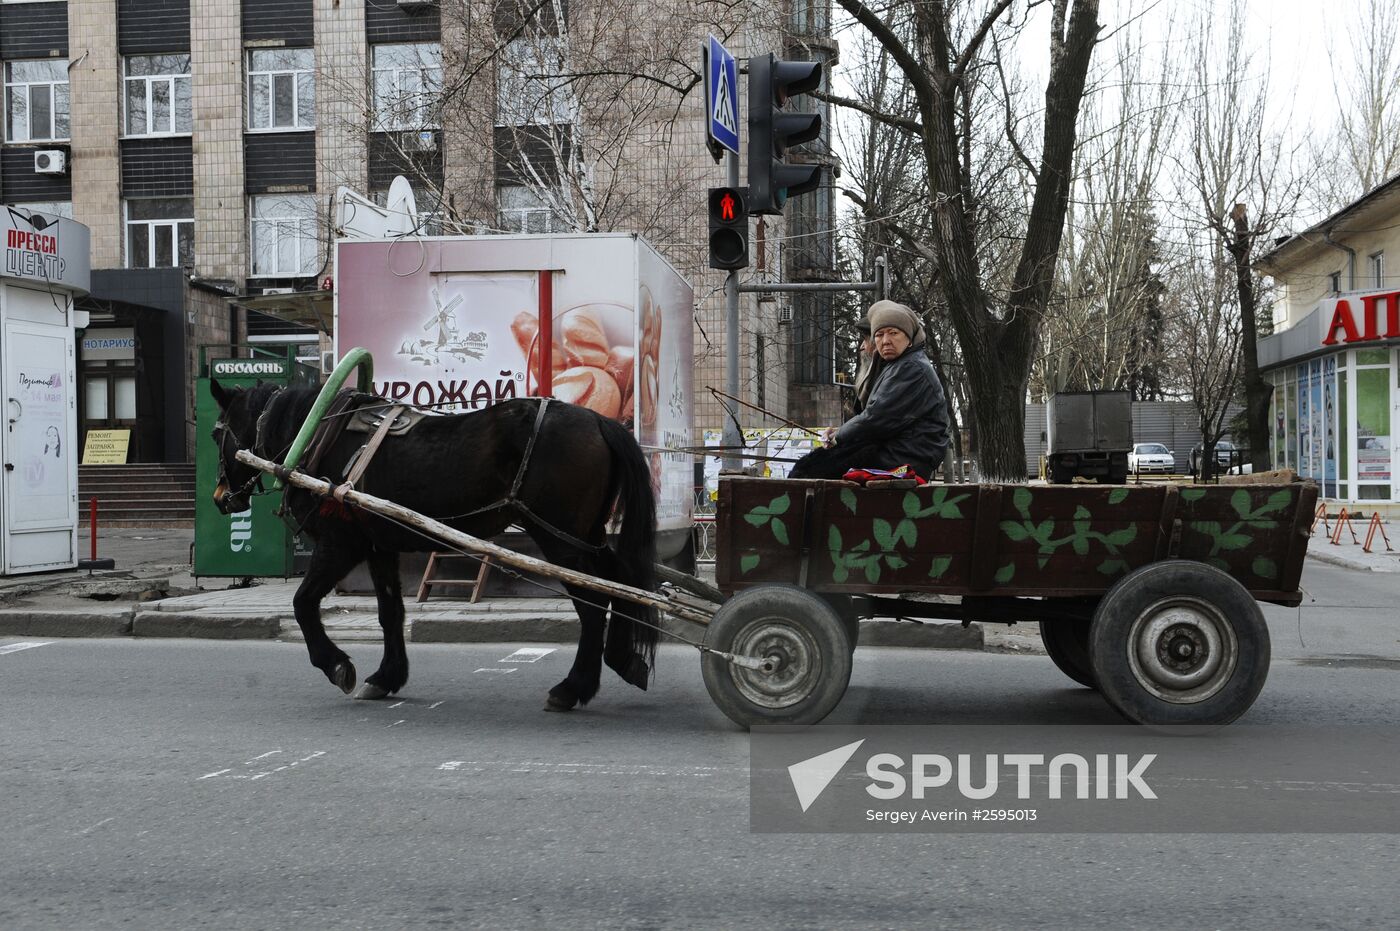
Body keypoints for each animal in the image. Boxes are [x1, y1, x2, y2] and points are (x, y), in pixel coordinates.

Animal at [210, 380, 658, 708]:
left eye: (216, 433)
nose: (220, 498)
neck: (321, 433)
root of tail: (598, 420)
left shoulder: (341, 545)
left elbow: (303, 603)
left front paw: (337, 665)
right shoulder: (378, 547)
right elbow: (390, 613)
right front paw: (386, 676)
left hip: (560, 539)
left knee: (594, 602)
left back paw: (573, 687)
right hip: (586, 536)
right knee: (622, 584)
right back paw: (625, 660)